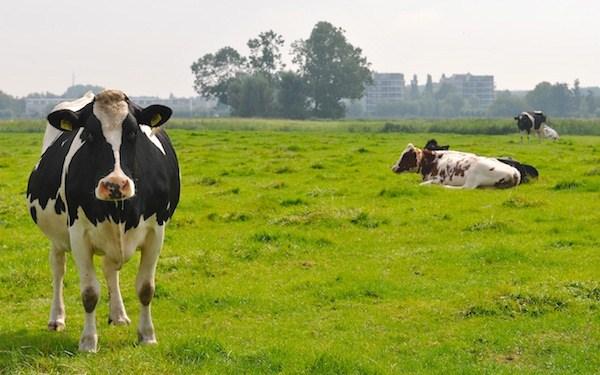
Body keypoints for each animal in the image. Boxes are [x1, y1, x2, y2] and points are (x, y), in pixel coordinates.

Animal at [26, 89, 180, 354]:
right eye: (89, 134)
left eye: (133, 132)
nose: (115, 184)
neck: (119, 210)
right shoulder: (78, 234)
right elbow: (89, 293)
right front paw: (88, 341)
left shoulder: (156, 231)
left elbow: (146, 288)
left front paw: (147, 335)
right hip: (57, 238)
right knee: (58, 268)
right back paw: (56, 318)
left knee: (109, 268)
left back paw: (118, 315)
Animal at [392, 145, 524, 191]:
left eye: (405, 156)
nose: (393, 167)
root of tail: (515, 172)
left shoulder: (438, 178)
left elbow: (422, 184)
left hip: (473, 174)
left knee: (466, 188)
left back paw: (446, 187)